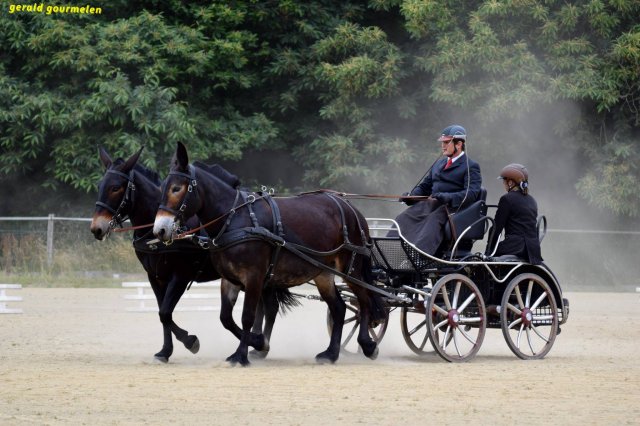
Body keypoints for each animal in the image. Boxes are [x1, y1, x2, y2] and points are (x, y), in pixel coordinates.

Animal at [90, 147, 296, 362]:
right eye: (100, 185)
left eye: (115, 188)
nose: (96, 228)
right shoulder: (155, 277)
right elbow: (162, 313)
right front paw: (165, 351)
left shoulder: (180, 276)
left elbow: (165, 312)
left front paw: (190, 341)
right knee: (266, 307)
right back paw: (257, 346)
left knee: (268, 307)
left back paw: (258, 344)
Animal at [153, 142, 387, 366]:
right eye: (162, 188)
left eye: (176, 188)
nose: (160, 230)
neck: (235, 218)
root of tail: (350, 208)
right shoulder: (229, 279)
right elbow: (226, 318)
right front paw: (258, 343)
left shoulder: (254, 276)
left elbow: (247, 316)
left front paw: (242, 354)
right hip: (323, 273)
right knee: (339, 308)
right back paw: (331, 354)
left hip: (351, 268)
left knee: (364, 300)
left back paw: (367, 345)